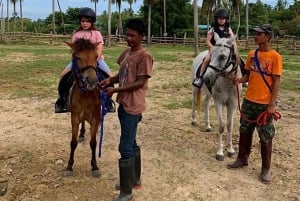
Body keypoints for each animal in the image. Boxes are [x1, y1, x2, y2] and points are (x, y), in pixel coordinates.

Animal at [63, 38, 102, 177]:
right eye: (78, 57)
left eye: (96, 56)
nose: (92, 81)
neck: (85, 94)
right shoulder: (74, 118)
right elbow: (73, 143)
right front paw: (69, 166)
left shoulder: (95, 117)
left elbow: (93, 143)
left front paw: (94, 166)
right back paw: (82, 134)